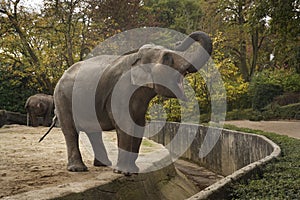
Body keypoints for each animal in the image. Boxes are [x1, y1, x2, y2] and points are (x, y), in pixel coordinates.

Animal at [52, 30, 212, 174]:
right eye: (167, 58)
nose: (178, 42)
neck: (136, 57)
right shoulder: (120, 92)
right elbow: (125, 124)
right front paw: (123, 172)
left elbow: (139, 124)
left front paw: (133, 171)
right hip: (62, 98)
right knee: (70, 130)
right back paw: (78, 169)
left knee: (94, 132)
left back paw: (103, 165)